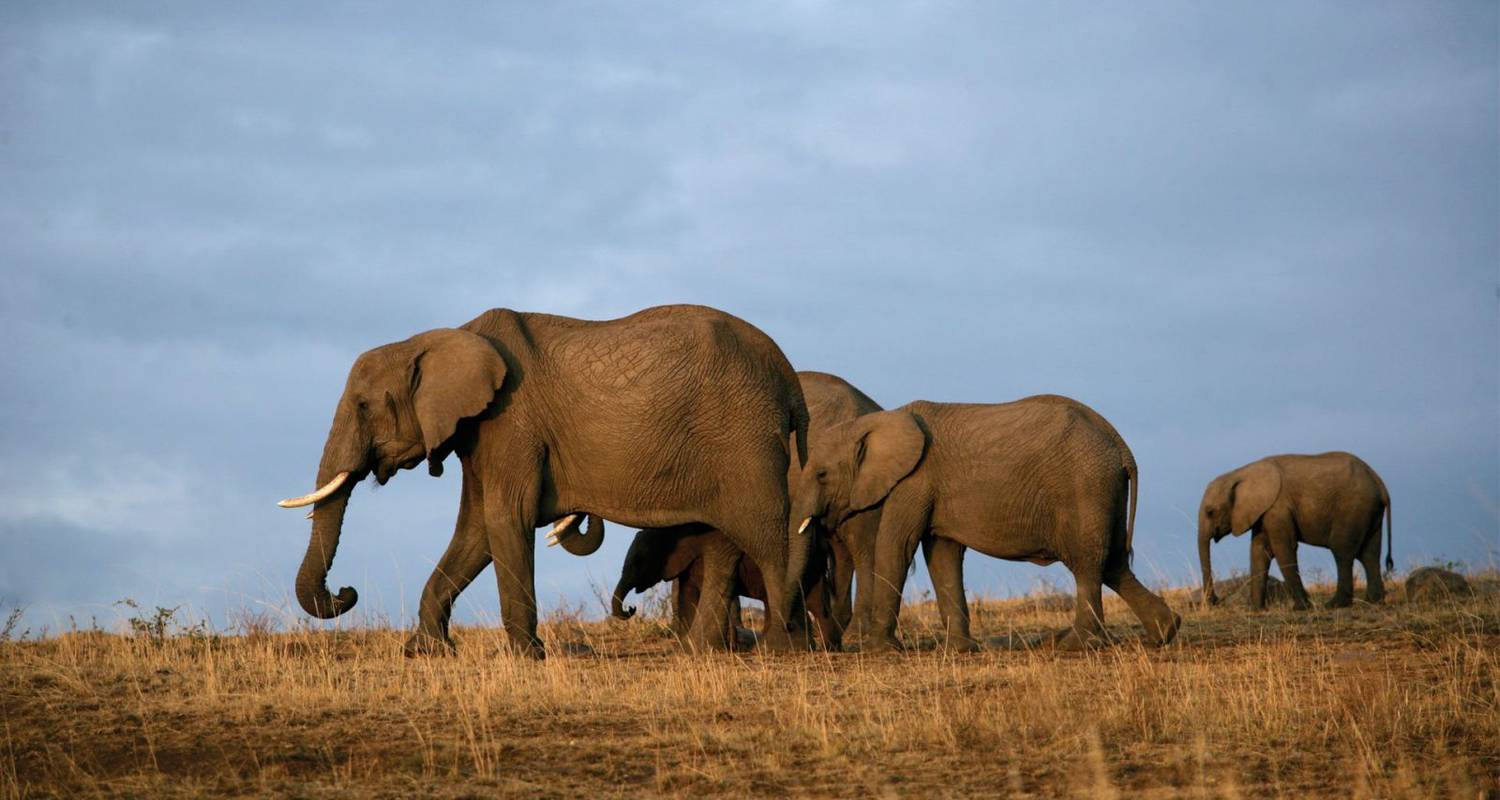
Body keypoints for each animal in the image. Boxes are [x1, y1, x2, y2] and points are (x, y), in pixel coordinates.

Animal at [270, 304, 810, 654]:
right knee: (722, 542)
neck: (437, 338)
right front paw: (424, 650)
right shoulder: (480, 431)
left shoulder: (511, 421)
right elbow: (475, 530)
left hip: (744, 438)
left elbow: (504, 518)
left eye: (363, 406)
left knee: (766, 536)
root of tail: (790, 379)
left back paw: (781, 648)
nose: (346, 592)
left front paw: (523, 655)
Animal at [609, 525, 846, 648]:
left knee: (815, 603)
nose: (631, 609)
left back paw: (826, 648)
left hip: (810, 566)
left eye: (639, 560)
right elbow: (686, 596)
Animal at [786, 396, 1182, 651]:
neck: (878, 421)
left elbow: (896, 545)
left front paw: (879, 651)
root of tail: (1121, 446)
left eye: (821, 475)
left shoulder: (914, 480)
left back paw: (1074, 646)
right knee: (1114, 563)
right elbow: (942, 554)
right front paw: (959, 650)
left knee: (1087, 564)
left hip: (1086, 487)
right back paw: (1162, 634)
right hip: (1104, 491)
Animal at [1194, 450, 1392, 612]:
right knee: (1369, 554)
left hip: (1353, 508)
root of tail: (1380, 484)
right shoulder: (1263, 511)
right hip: (1369, 511)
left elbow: (1283, 548)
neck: (1240, 473)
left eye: (1210, 512)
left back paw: (1335, 605)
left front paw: (1301, 608)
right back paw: (1374, 601)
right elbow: (1259, 551)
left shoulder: (1278, 508)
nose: (1216, 601)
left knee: (1342, 552)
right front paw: (1256, 610)